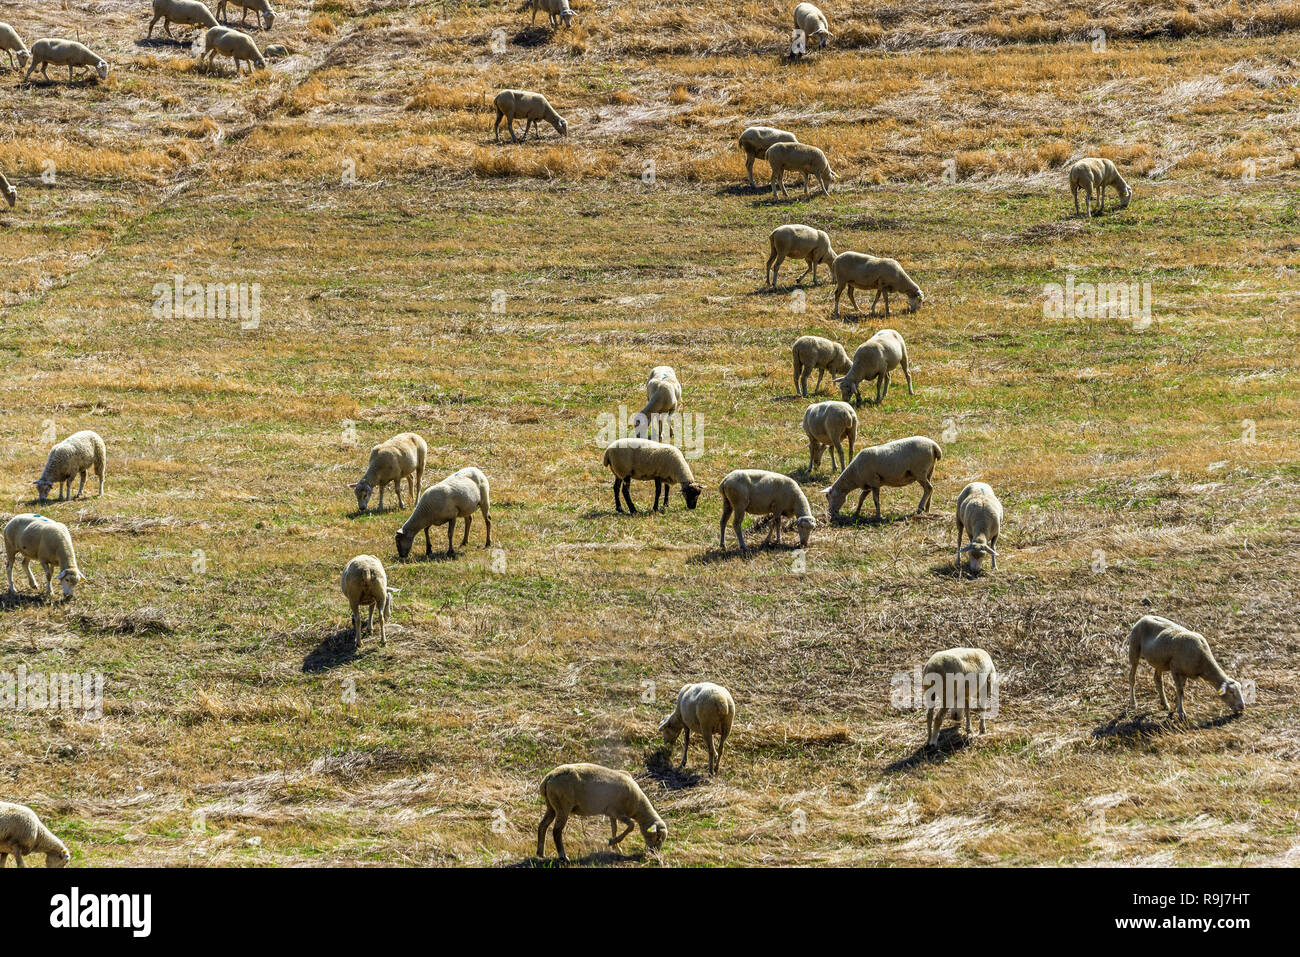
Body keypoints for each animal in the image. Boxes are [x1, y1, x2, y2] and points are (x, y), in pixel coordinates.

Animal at [537, 763, 667, 862]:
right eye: (657, 838)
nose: (654, 854)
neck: (637, 804)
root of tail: (548, 777)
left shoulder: (611, 813)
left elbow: (614, 828)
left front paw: (616, 847)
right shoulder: (617, 811)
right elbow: (631, 825)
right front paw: (612, 842)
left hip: (551, 806)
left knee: (543, 825)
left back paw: (540, 853)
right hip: (563, 806)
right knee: (556, 831)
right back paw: (563, 857)